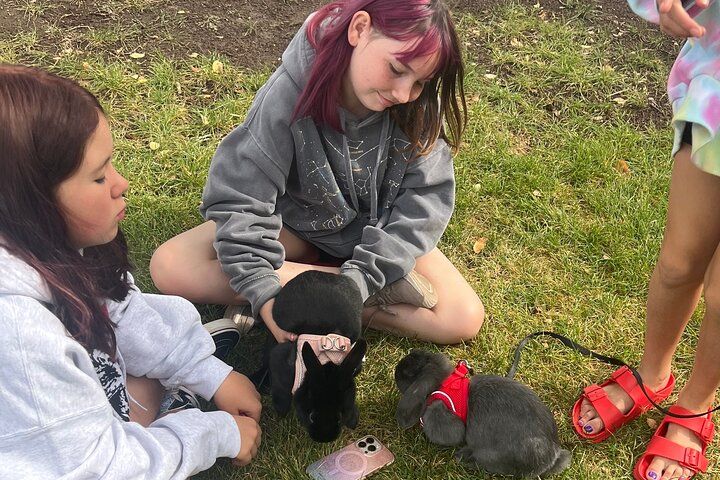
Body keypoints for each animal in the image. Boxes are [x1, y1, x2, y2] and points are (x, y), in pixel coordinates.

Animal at [267, 270, 367, 443]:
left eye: (339, 417)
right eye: (312, 416)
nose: (324, 439)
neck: (326, 361)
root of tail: (321, 273)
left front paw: (353, 419)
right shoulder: (279, 362)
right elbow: (280, 390)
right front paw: (281, 411)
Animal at [395, 350, 571, 478]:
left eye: (406, 372)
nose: (396, 370)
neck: (442, 383)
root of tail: (551, 458)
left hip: (490, 455)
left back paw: (463, 457)